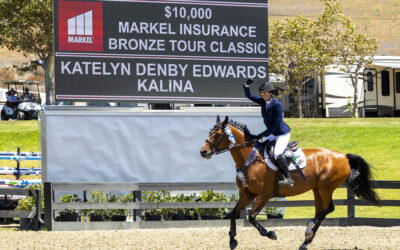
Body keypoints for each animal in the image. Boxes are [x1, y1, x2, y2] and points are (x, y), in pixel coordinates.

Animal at [200, 116, 382, 249]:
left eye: (217, 135)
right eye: (210, 132)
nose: (203, 152)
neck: (250, 159)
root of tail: (343, 156)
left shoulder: (264, 195)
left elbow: (251, 217)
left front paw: (270, 234)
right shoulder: (247, 194)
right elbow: (233, 214)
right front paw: (232, 241)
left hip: (325, 187)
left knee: (328, 208)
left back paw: (308, 230)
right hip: (317, 189)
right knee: (321, 210)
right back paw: (306, 241)